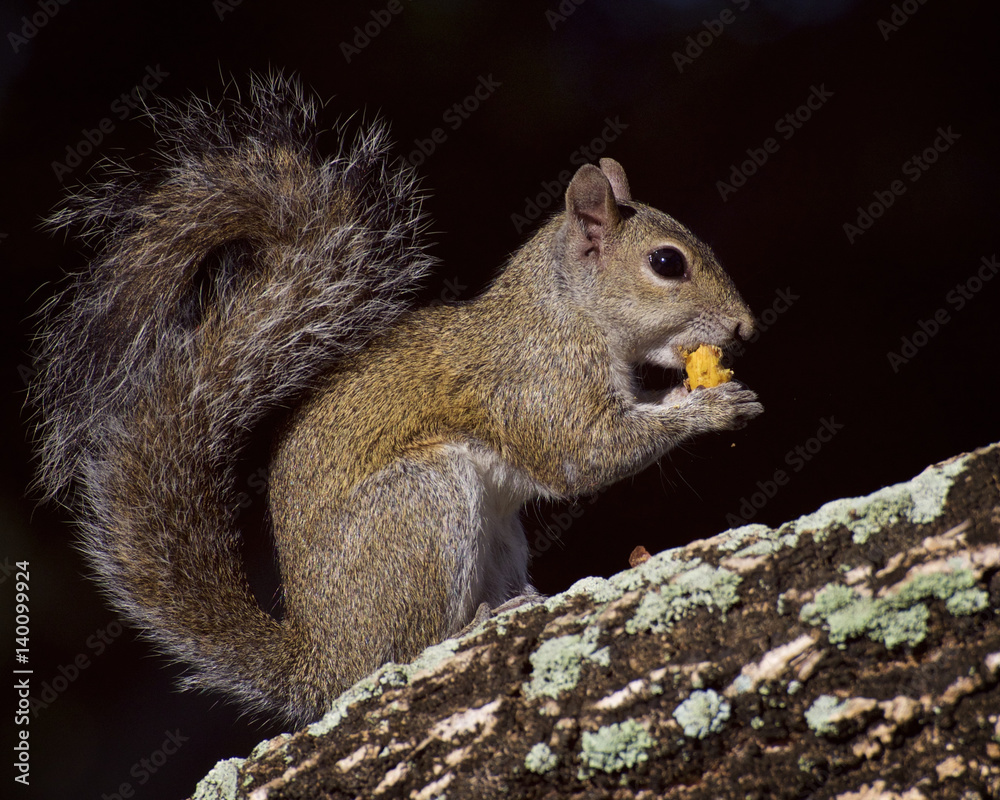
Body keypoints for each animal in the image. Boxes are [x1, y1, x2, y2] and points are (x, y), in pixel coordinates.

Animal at [31, 74, 763, 726]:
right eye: (667, 263)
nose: (745, 327)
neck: (567, 313)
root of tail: (321, 662)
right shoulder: (535, 383)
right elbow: (583, 455)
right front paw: (712, 408)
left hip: (491, 535)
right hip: (420, 508)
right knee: (406, 651)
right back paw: (474, 625)